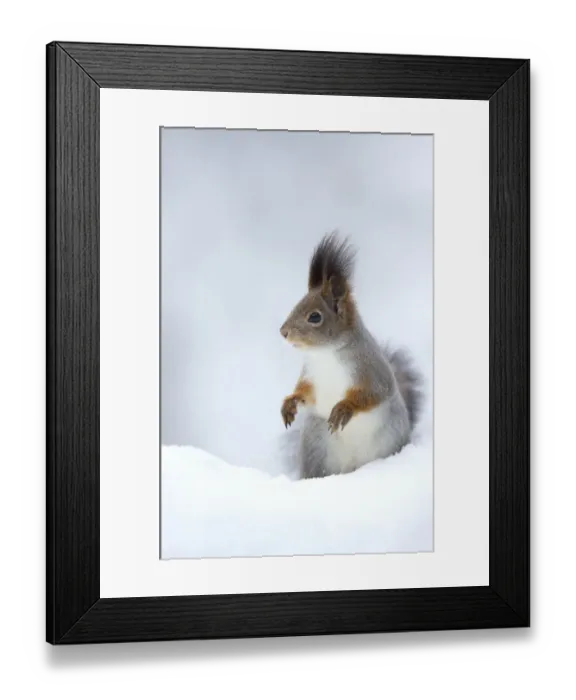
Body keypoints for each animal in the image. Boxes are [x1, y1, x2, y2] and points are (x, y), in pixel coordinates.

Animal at [279, 232, 424, 480]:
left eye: (315, 317)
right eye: (297, 304)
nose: (283, 332)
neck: (325, 354)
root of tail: (353, 468)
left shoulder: (371, 369)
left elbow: (373, 392)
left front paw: (343, 408)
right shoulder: (310, 374)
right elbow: (305, 392)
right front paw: (290, 402)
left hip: (390, 437)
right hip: (316, 442)